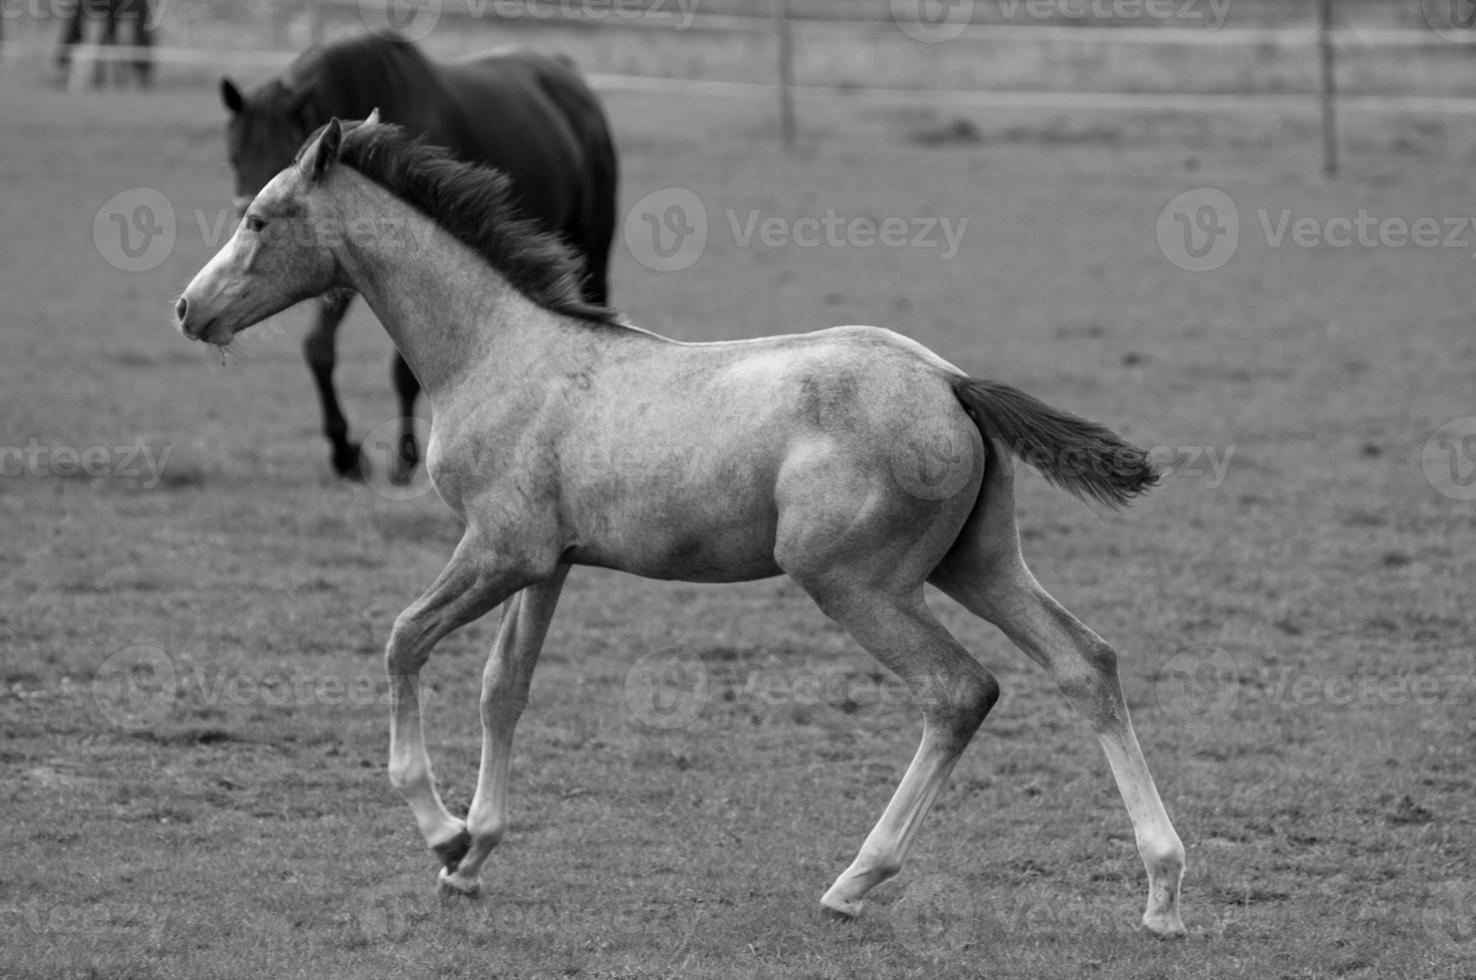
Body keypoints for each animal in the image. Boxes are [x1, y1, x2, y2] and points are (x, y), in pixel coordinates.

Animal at [175, 118, 1186, 938]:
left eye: (260, 217)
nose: (188, 309)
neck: (496, 351)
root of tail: (950, 381)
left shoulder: (498, 549)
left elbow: (402, 642)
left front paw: (442, 830)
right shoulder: (548, 564)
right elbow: (505, 688)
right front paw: (473, 857)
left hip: (853, 580)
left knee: (959, 691)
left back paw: (854, 883)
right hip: (977, 564)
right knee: (1086, 663)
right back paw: (1163, 891)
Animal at [215, 35, 614, 481]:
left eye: (285, 150)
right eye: (233, 156)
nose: (248, 220)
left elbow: (403, 374)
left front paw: (404, 457)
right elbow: (319, 349)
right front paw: (344, 451)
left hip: (594, 245)